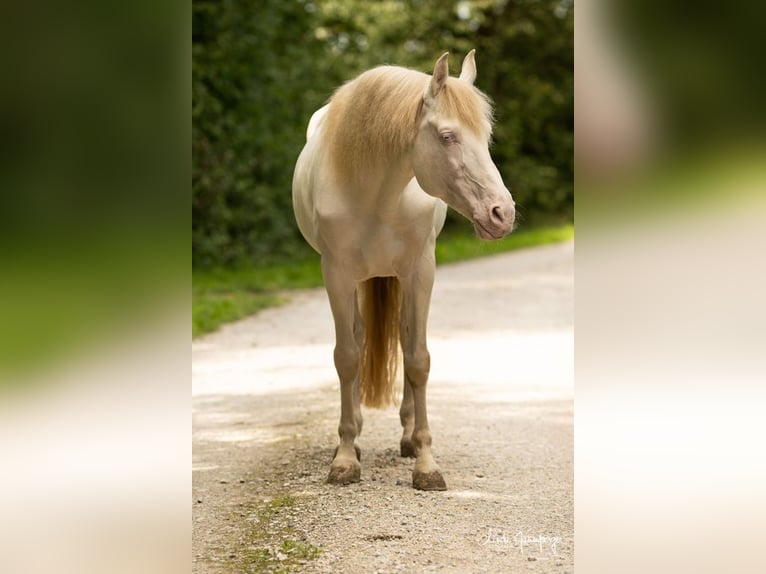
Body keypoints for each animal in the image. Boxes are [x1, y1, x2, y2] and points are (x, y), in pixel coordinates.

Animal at [292, 51, 515, 490]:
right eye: (447, 136)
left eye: (486, 136)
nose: (502, 213)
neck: (376, 195)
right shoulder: (336, 275)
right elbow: (347, 357)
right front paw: (345, 458)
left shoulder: (420, 272)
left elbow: (417, 359)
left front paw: (426, 463)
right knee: (359, 339)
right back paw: (354, 436)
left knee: (404, 335)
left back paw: (409, 437)